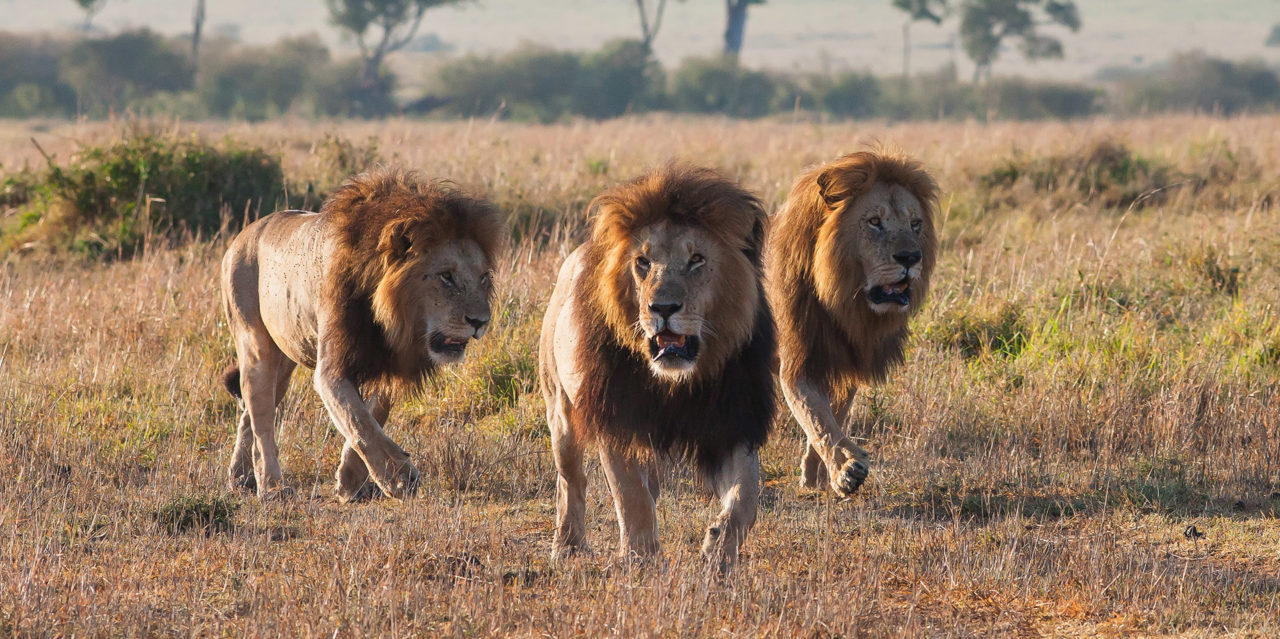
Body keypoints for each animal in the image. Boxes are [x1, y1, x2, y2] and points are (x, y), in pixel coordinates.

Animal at [220, 170, 499, 504]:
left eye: (483, 277)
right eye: (446, 276)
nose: (480, 322)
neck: (394, 321)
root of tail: (243, 235)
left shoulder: (391, 363)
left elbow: (372, 416)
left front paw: (352, 481)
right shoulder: (332, 369)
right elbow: (357, 421)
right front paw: (399, 478)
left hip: (286, 356)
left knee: (249, 413)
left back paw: (240, 477)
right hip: (255, 343)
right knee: (260, 412)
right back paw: (272, 486)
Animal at [537, 165, 773, 571]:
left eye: (697, 259)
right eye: (643, 263)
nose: (662, 308)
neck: (674, 383)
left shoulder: (733, 424)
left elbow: (746, 498)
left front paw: (718, 551)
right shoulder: (617, 421)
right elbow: (631, 496)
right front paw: (640, 558)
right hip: (561, 412)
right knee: (571, 481)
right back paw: (567, 546)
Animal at [762, 152, 936, 496]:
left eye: (915, 224)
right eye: (874, 222)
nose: (911, 258)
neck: (845, 302)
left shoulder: (848, 363)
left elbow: (832, 418)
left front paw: (814, 478)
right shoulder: (798, 363)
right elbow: (818, 418)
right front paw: (846, 471)